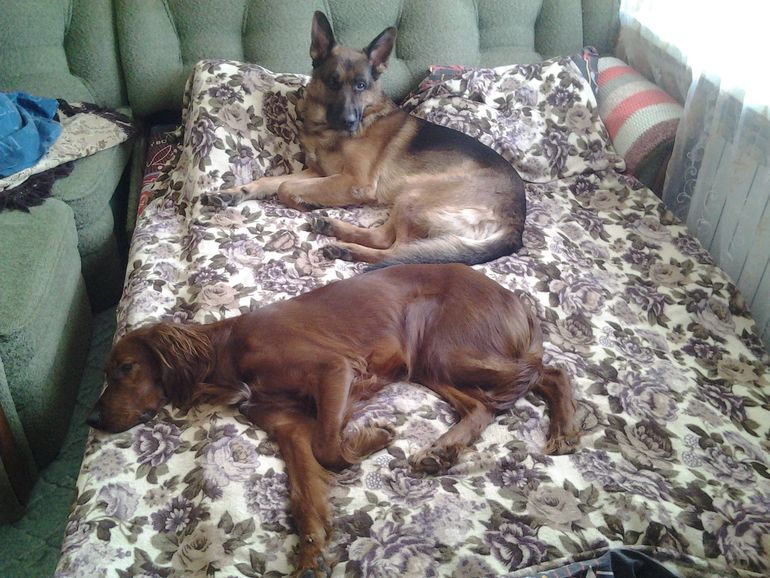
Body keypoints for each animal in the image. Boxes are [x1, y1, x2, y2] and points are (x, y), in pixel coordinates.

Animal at [87, 264, 580, 577]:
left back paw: (564, 431)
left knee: (547, 371)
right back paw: (441, 452)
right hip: (429, 362)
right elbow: (304, 493)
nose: (92, 418)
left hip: (448, 348)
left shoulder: (333, 369)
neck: (228, 352)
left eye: (125, 368)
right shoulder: (288, 429)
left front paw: (372, 439)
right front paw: (310, 555)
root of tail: (514, 297)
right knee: (483, 406)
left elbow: (329, 447)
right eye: (105, 373)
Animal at [201, 11, 527, 268]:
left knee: (395, 250)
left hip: (415, 194)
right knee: (384, 238)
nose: (349, 121)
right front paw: (235, 192)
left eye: (361, 85)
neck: (329, 131)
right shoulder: (319, 172)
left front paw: (304, 201)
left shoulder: (354, 182)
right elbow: (271, 181)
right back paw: (333, 229)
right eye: (332, 82)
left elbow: (284, 187)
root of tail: (516, 222)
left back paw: (344, 245)